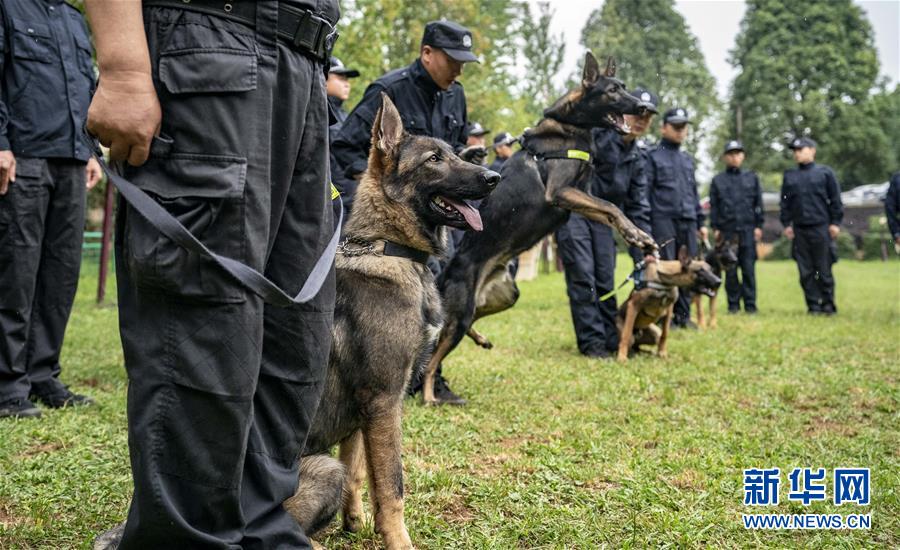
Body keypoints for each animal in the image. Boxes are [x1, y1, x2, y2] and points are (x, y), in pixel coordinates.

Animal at [284, 96, 500, 550]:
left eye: (454, 153)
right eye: (434, 160)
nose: (495, 177)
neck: (391, 249)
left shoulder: (363, 413)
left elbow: (359, 472)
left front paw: (355, 521)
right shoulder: (384, 401)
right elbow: (392, 486)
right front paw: (399, 541)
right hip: (321, 470)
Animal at [418, 51, 656, 406]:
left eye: (624, 86)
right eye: (613, 90)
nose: (644, 108)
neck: (572, 126)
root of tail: (447, 272)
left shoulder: (580, 195)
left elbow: (607, 211)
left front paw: (635, 234)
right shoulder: (561, 192)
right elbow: (611, 207)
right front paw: (636, 234)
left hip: (501, 297)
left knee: (465, 324)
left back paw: (481, 338)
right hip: (461, 312)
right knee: (433, 360)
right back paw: (430, 396)